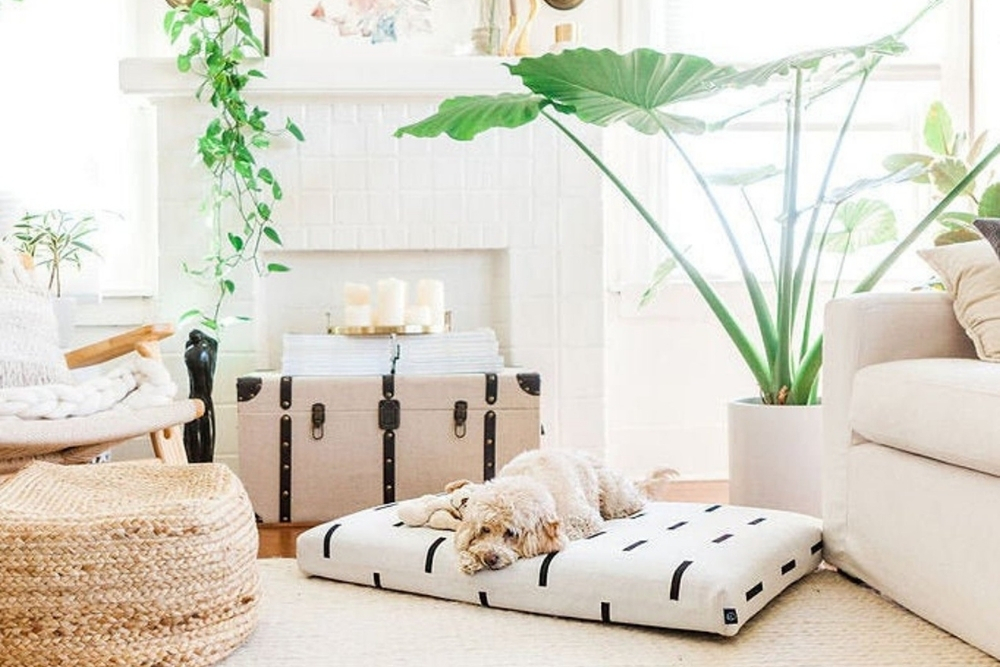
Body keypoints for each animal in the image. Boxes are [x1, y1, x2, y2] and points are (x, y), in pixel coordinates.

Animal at [450, 448, 644, 576]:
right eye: (485, 529)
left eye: (511, 533)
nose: (489, 558)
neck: (530, 479)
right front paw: (470, 559)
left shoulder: (583, 519)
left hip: (613, 494)